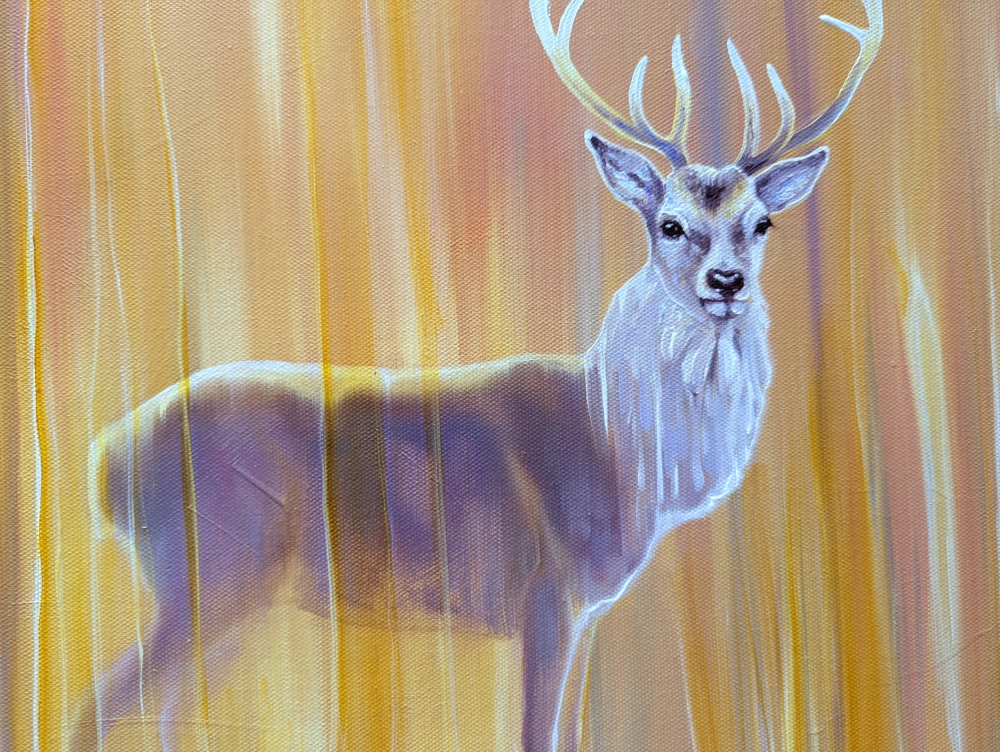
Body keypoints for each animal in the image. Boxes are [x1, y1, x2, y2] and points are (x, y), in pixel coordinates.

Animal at [71, 0, 881, 749]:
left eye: (761, 223)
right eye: (670, 222)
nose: (727, 282)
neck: (621, 446)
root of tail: (105, 460)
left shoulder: (586, 608)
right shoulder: (547, 589)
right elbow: (534, 734)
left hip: (233, 598)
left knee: (168, 712)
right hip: (213, 571)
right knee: (92, 709)